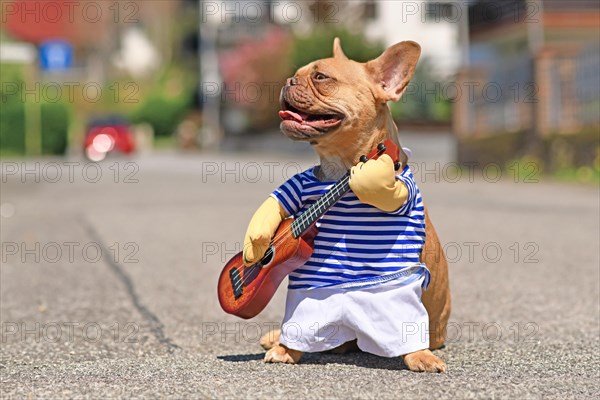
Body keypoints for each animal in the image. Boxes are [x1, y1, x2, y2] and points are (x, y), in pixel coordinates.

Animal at [244, 38, 450, 372]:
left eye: (320, 77)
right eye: (297, 74)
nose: (288, 81)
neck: (338, 166)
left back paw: (419, 354)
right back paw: (284, 345)